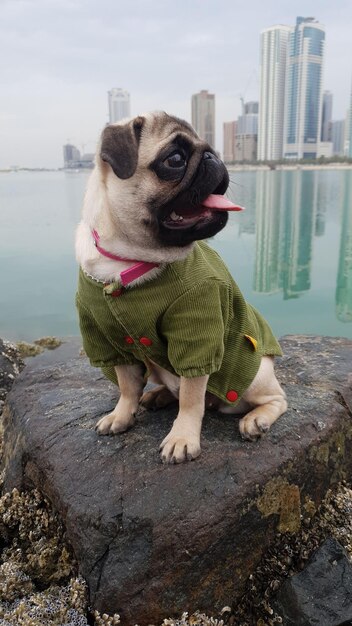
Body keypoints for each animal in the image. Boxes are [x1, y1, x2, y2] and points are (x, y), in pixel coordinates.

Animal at [75, 111, 288, 464]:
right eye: (175, 160)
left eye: (212, 149)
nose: (213, 157)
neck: (130, 260)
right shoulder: (107, 337)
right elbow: (126, 385)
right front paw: (121, 415)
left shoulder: (195, 333)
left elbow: (191, 396)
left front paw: (182, 437)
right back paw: (158, 395)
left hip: (255, 378)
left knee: (277, 398)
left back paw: (255, 420)